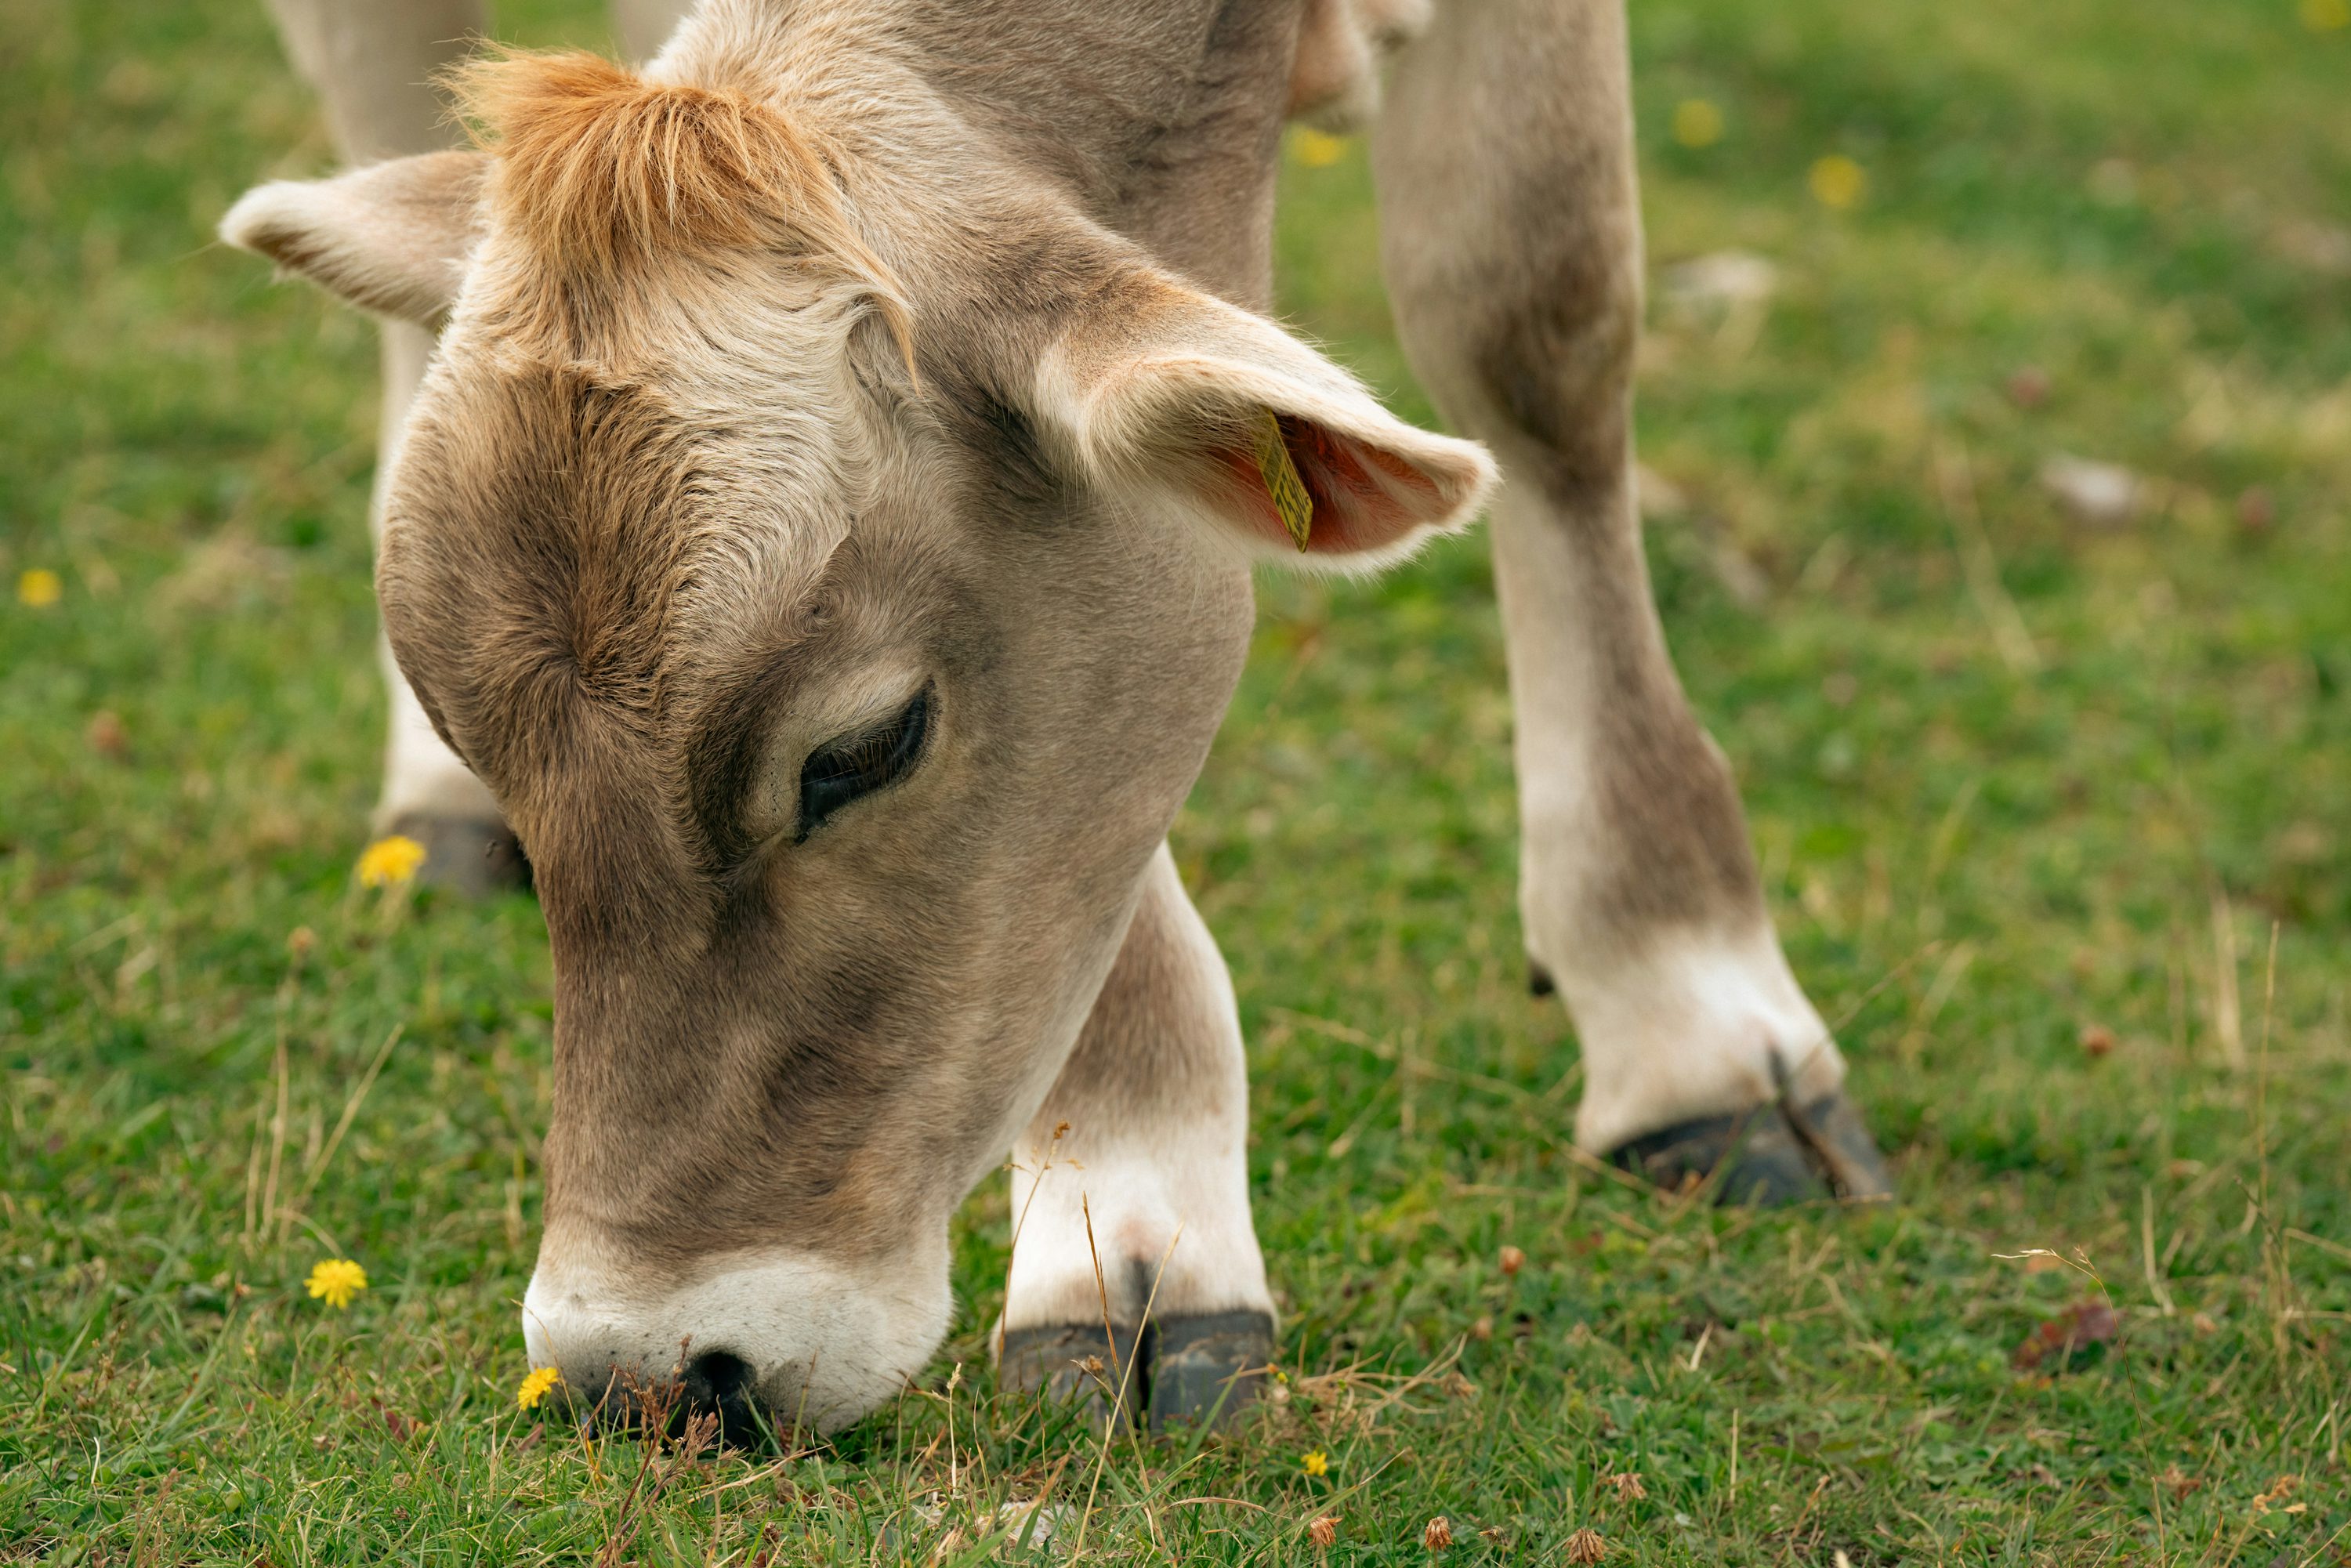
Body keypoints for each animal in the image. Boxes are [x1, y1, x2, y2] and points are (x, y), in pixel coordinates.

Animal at [223, 0, 1892, 1437]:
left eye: (864, 749)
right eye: (479, 728)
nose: (643, 1371)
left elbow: (1536, 308)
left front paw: (1687, 998)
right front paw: (1134, 1214)